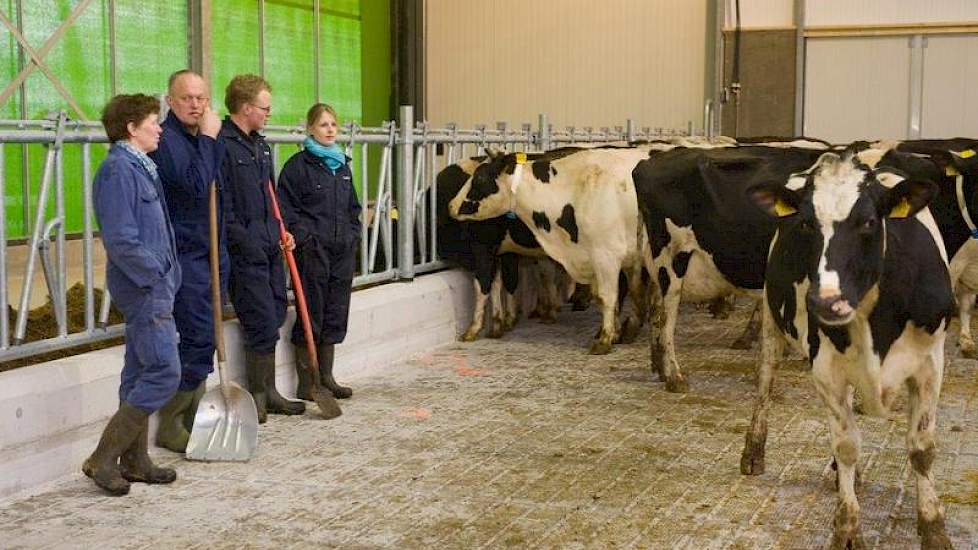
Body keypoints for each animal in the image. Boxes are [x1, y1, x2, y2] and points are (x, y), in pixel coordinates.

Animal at [448, 147, 648, 356]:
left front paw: (605, 339)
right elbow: (631, 294)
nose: (451, 205)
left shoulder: (606, 256)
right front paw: (622, 331)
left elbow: (608, 296)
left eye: (479, 178)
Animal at [628, 144, 828, 390]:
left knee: (655, 309)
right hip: (671, 259)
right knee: (666, 317)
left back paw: (659, 368)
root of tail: (649, 161)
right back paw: (674, 376)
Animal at [744, 151, 948, 550]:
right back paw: (754, 451)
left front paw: (933, 529)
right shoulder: (825, 369)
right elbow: (847, 445)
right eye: (806, 223)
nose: (827, 301)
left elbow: (921, 449)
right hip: (772, 321)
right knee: (764, 381)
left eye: (868, 221)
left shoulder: (931, 364)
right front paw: (848, 529)